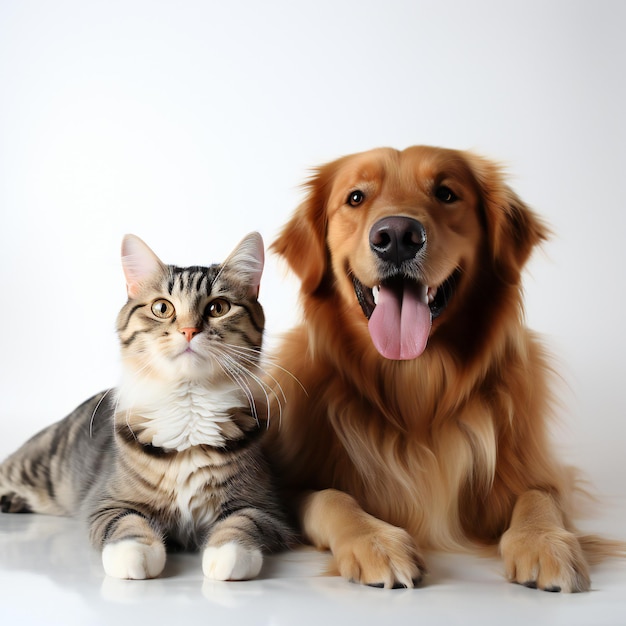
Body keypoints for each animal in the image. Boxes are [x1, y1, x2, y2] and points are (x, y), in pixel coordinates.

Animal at [0, 232, 292, 576]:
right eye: (162, 308)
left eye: (218, 307)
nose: (189, 330)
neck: (188, 405)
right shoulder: (107, 502)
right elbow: (128, 524)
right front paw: (134, 554)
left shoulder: (265, 507)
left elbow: (241, 525)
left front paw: (227, 556)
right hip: (37, 466)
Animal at [266, 145, 612, 588]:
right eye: (356, 197)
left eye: (446, 194)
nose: (397, 236)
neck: (414, 386)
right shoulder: (290, 484)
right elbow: (331, 497)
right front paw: (374, 542)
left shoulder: (543, 471)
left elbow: (539, 496)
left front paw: (544, 542)